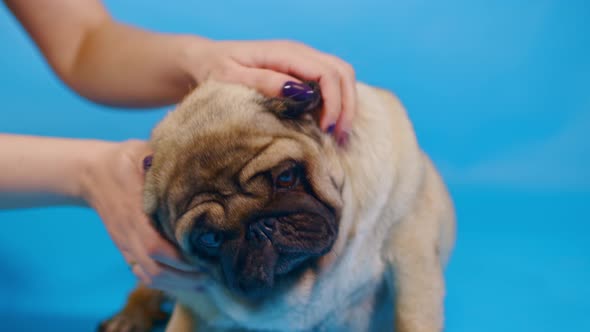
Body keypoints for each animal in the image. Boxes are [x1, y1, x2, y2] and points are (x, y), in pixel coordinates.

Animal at [99, 81, 456, 332]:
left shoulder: (412, 255)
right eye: (210, 238)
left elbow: (413, 318)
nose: (260, 227)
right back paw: (130, 316)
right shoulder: (193, 306)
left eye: (285, 177)